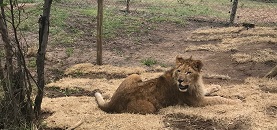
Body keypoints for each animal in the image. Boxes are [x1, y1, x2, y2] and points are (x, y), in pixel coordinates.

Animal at [93, 55, 239, 114]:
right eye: (179, 71)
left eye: (188, 72)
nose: (180, 80)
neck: (192, 84)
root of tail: (113, 102)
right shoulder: (197, 102)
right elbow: (218, 99)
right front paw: (235, 102)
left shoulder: (199, 93)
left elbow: (208, 90)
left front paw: (216, 86)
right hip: (150, 108)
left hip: (135, 75)